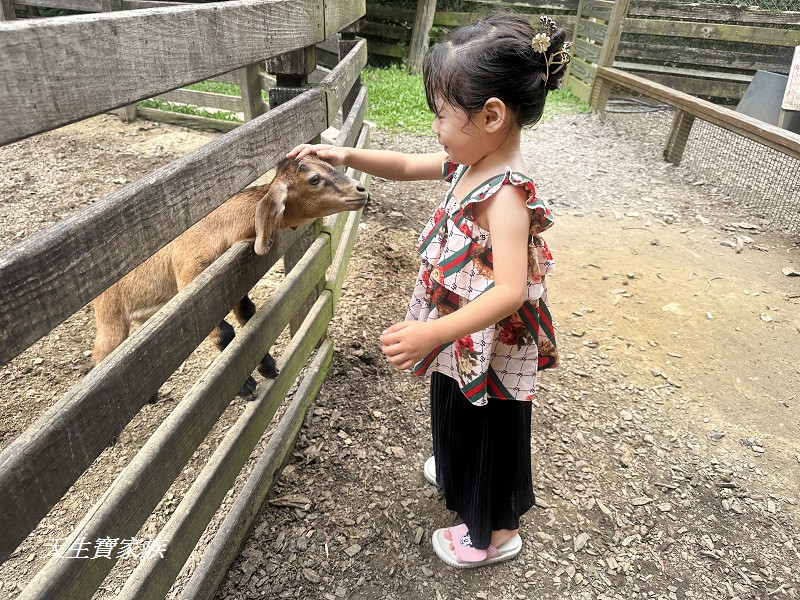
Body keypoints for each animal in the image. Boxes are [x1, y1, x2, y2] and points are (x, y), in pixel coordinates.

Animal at [91, 156, 368, 398]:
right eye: (314, 179)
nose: (361, 190)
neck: (216, 227)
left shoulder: (231, 287)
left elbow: (248, 315)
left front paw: (268, 367)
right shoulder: (194, 287)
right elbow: (223, 333)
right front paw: (247, 387)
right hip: (111, 315)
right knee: (102, 351)